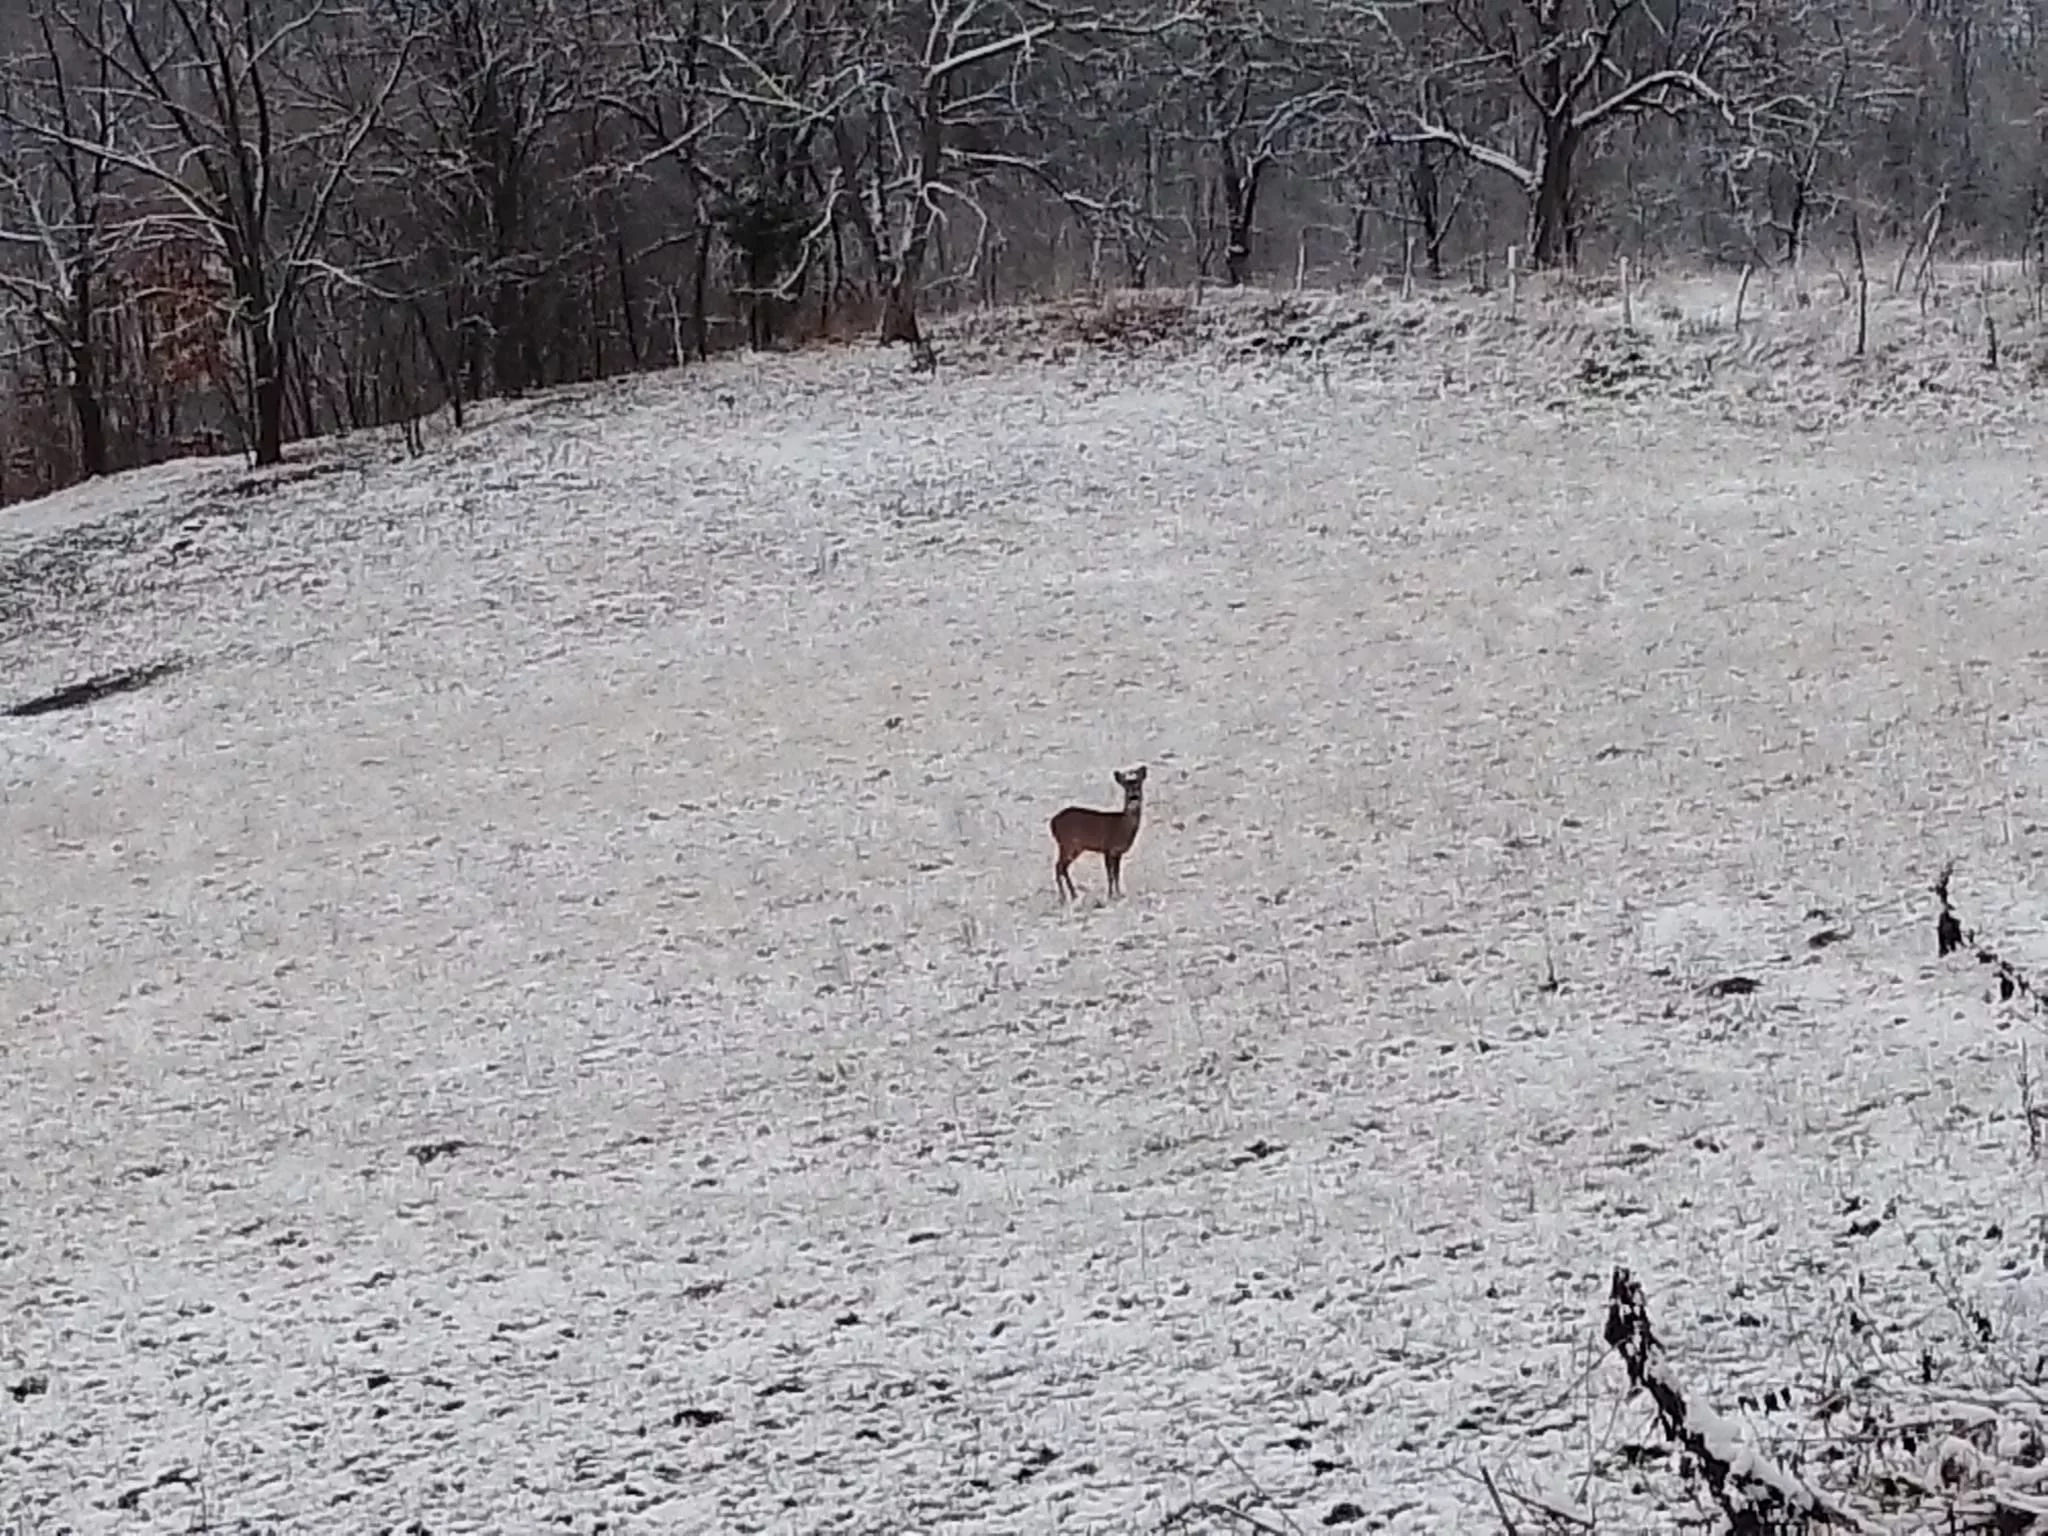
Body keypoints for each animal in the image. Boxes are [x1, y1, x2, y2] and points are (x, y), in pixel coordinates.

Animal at [1048, 765, 1146, 901]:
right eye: (1126, 788)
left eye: (1139, 786)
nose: (1134, 797)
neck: (1121, 826)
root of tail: (1052, 822)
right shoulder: (1107, 848)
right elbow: (1110, 875)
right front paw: (1110, 896)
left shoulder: (1118, 852)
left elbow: (1117, 874)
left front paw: (1119, 894)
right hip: (1067, 843)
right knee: (1058, 866)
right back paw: (1064, 897)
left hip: (1075, 847)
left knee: (1063, 867)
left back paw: (1073, 894)